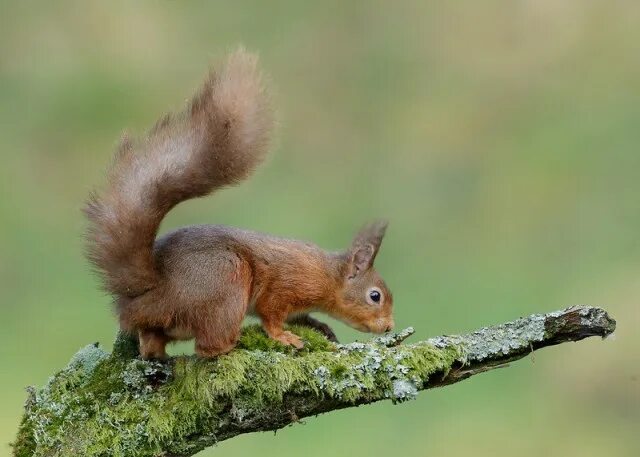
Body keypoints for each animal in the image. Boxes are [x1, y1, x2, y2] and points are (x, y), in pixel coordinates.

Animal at [84, 48, 396, 358]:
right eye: (375, 296)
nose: (389, 327)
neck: (328, 275)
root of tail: (150, 294)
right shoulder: (286, 286)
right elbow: (271, 313)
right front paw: (282, 335)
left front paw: (319, 325)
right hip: (227, 281)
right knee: (207, 347)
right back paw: (236, 343)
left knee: (152, 345)